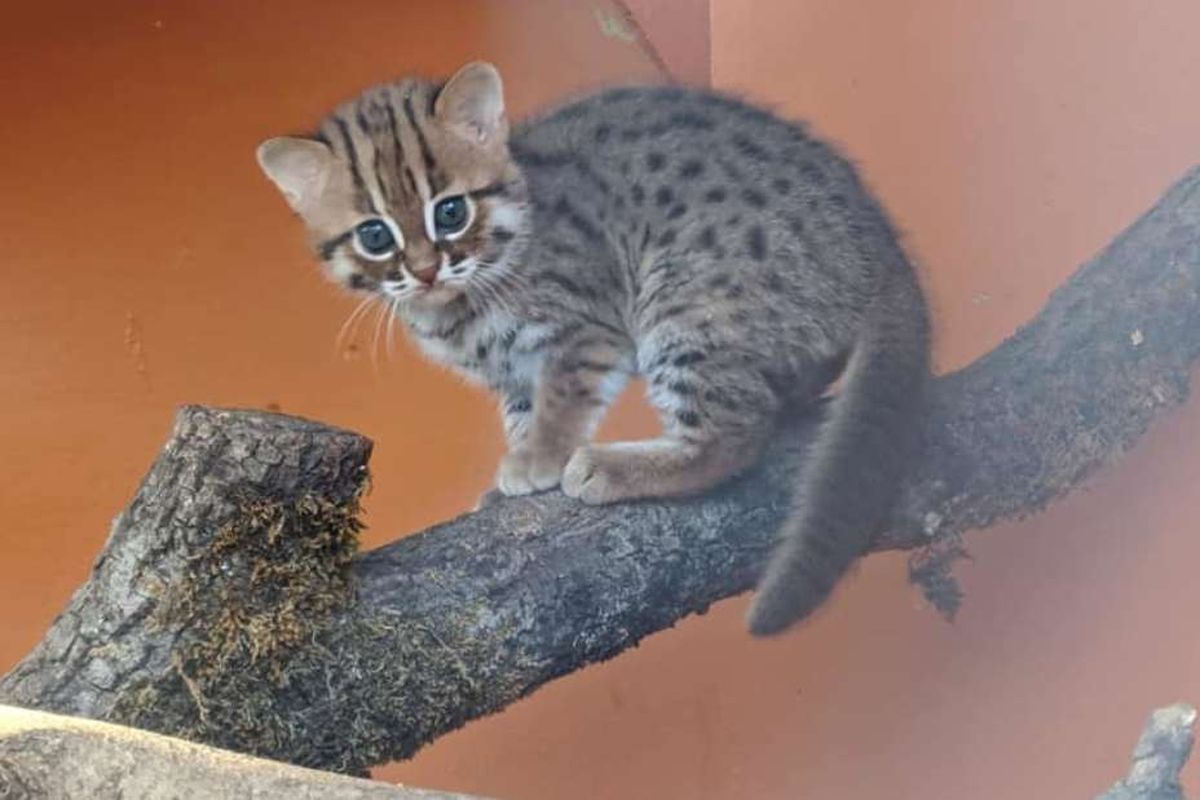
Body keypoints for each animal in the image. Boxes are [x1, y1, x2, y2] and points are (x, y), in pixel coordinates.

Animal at [258, 61, 931, 638]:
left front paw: (540, 460)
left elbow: (561, 402)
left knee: (735, 433)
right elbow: (522, 413)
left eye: (450, 212)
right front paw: (517, 469)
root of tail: (882, 247)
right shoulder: (515, 374)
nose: (424, 271)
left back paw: (614, 466)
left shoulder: (587, 330)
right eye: (375, 235)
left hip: (685, 298)